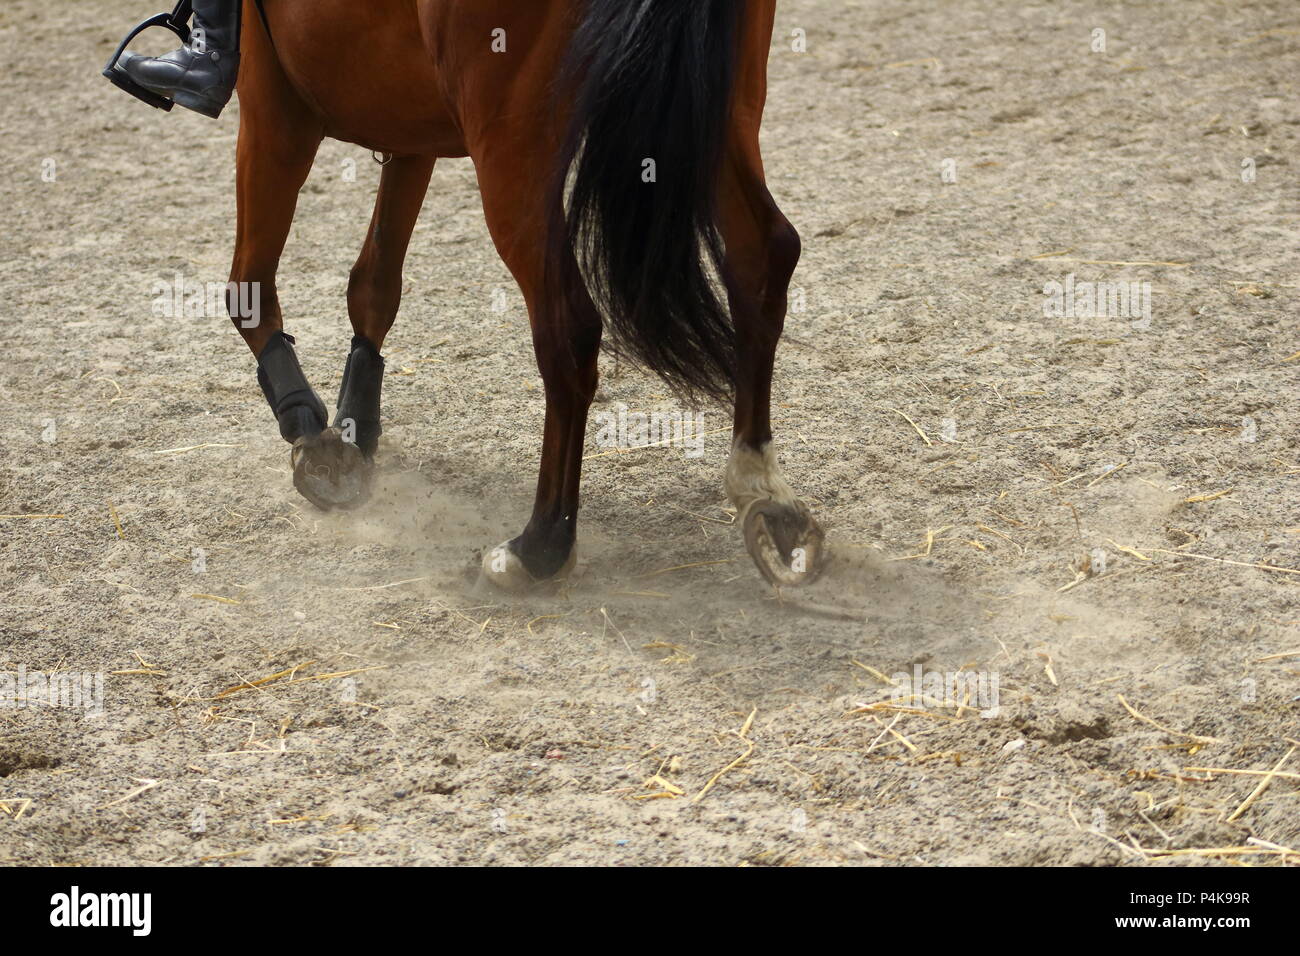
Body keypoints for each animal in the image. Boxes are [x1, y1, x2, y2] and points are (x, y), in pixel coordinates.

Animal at [219, 0, 821, 590]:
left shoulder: (271, 102)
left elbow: (248, 286)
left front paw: (310, 432)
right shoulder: (407, 126)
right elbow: (375, 283)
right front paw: (351, 433)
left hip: (513, 152)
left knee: (570, 326)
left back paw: (542, 545)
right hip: (725, 112)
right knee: (765, 254)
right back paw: (763, 488)